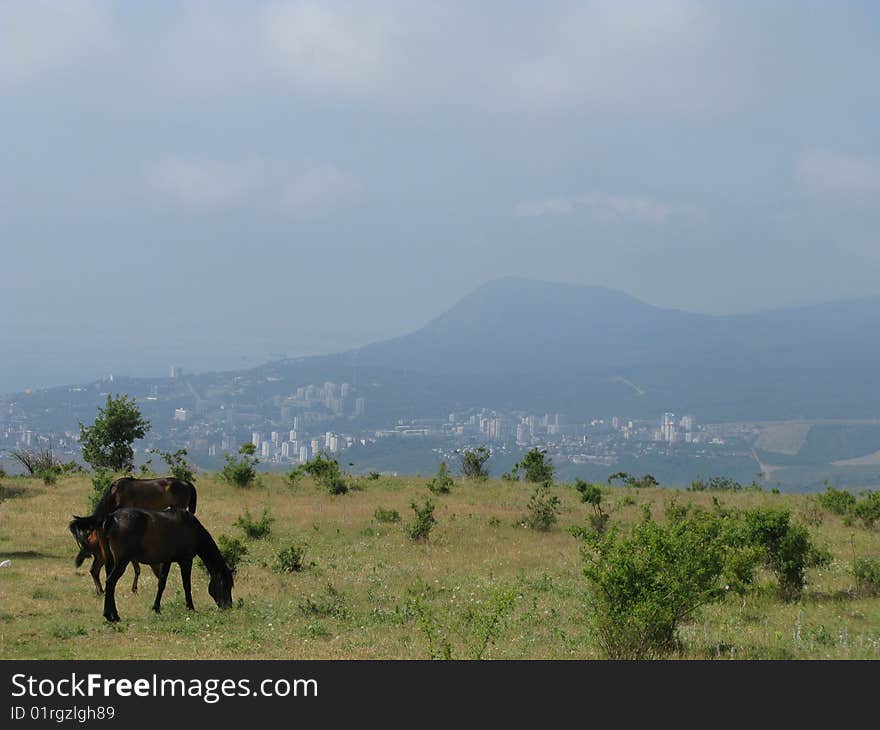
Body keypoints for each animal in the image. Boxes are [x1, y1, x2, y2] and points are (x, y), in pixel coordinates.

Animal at [99, 506, 234, 620]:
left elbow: (161, 584)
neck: (191, 529)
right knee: (110, 582)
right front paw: (191, 608)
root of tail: (112, 517)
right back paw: (112, 616)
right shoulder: (186, 561)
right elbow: (187, 585)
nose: (228, 606)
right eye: (225, 584)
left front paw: (156, 608)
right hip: (122, 561)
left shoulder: (166, 561)